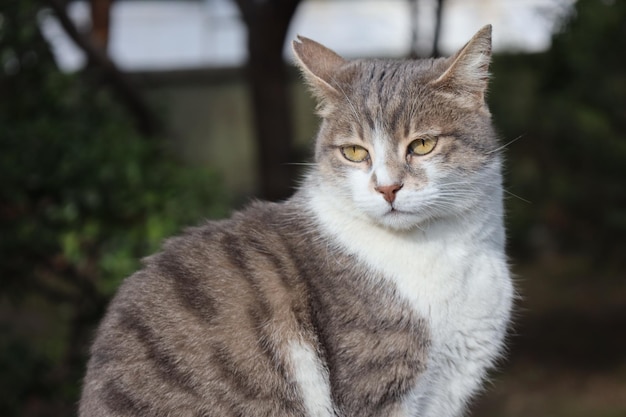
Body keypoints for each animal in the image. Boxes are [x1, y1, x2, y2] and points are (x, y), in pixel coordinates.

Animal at [79, 24, 512, 414]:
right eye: (355, 152)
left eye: (422, 145)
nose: (387, 188)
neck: (448, 248)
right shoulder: (377, 384)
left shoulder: (449, 384)